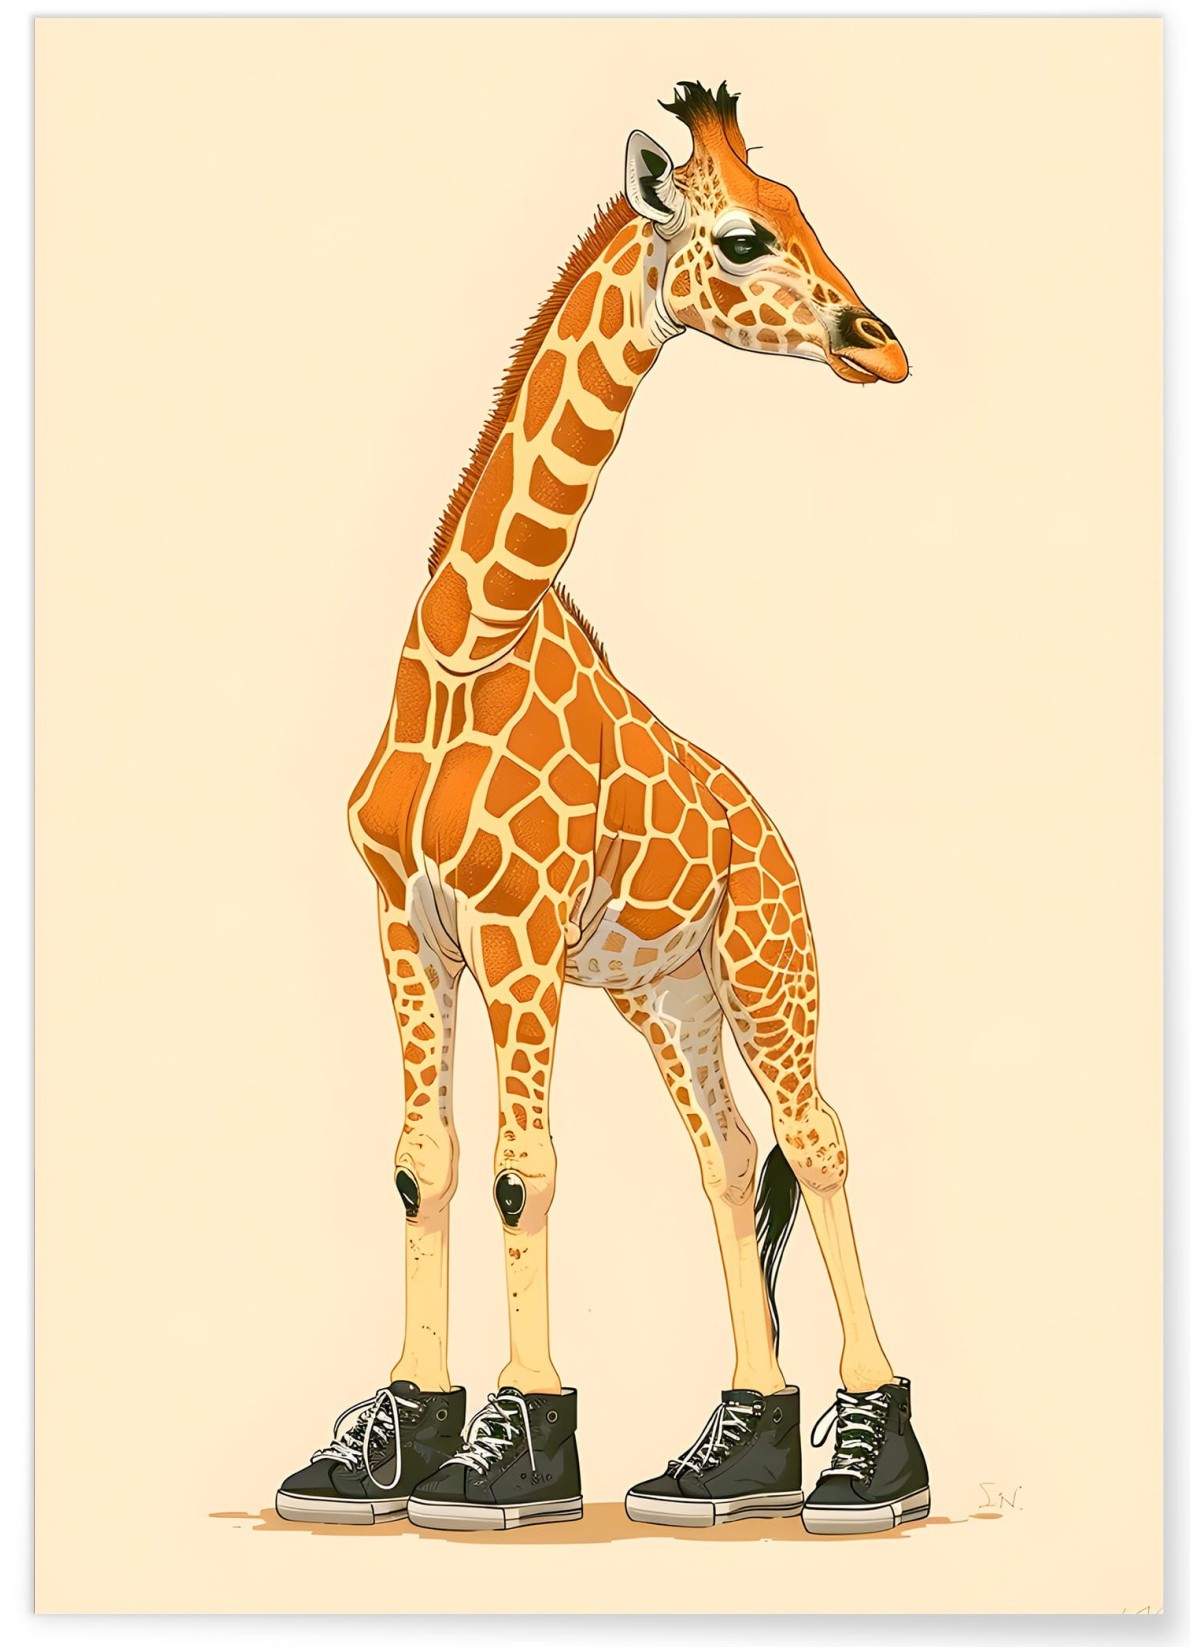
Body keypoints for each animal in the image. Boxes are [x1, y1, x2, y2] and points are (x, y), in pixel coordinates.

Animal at [276, 82, 929, 1536]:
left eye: (801, 211)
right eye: (744, 236)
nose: (884, 344)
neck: (467, 640)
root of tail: (775, 835)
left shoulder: (516, 929)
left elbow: (525, 1166)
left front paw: (509, 1457)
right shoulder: (406, 924)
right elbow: (425, 1157)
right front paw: (390, 1435)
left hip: (767, 964)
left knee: (818, 1136)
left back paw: (872, 1465)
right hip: (668, 997)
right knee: (730, 1157)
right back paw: (733, 1458)